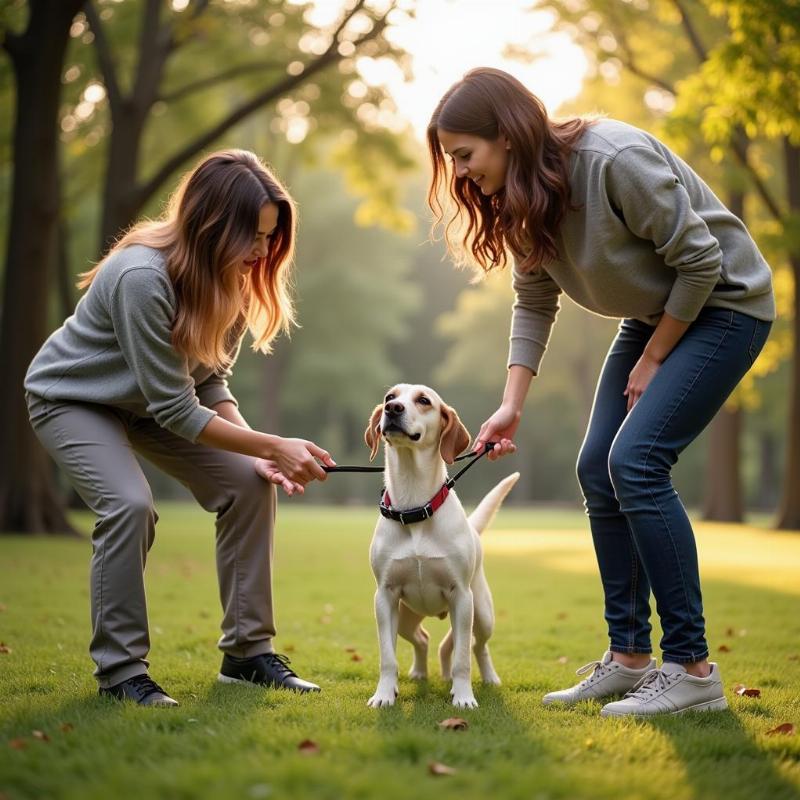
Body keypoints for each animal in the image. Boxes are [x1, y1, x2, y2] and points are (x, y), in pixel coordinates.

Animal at [362, 384, 520, 708]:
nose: (393, 409)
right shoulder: (384, 597)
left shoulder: (461, 595)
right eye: (389, 397)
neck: (414, 506)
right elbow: (387, 657)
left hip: (480, 613)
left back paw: (487, 678)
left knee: (476, 647)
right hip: (406, 618)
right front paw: (384, 694)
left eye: (424, 400)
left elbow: (463, 659)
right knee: (426, 640)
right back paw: (420, 673)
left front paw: (464, 697)